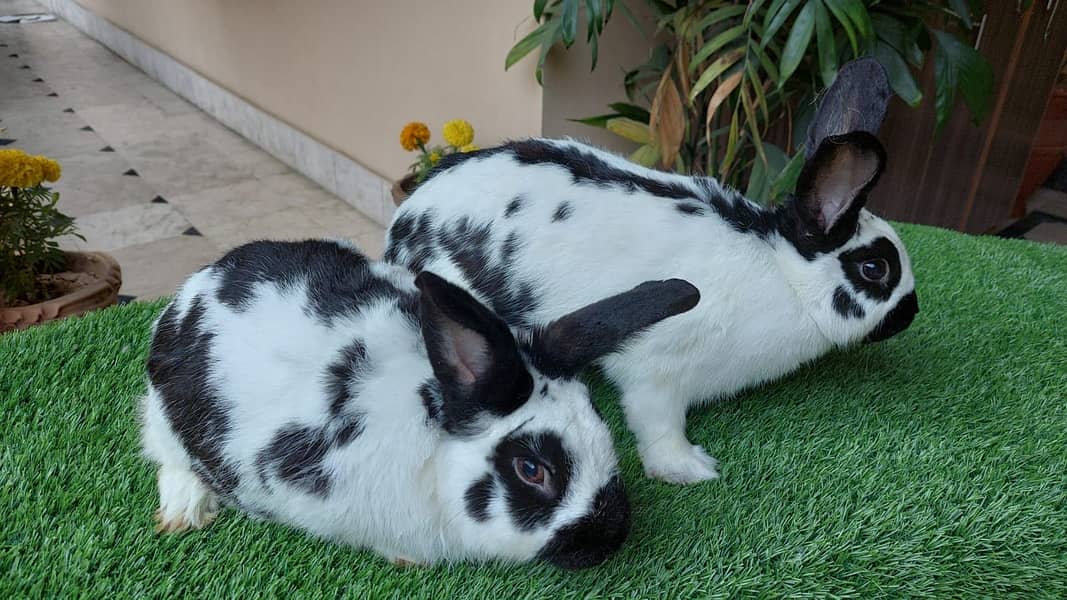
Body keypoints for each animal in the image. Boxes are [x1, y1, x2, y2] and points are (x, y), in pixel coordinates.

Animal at [140, 238, 699, 568]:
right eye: (531, 470)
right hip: (165, 418)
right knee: (167, 456)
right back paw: (186, 509)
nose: (610, 537)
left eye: (601, 425)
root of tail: (196, 286)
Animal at [383, 57, 918, 485]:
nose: (911, 314)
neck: (785, 274)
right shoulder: (655, 371)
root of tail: (401, 226)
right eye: (875, 268)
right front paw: (691, 469)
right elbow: (659, 425)